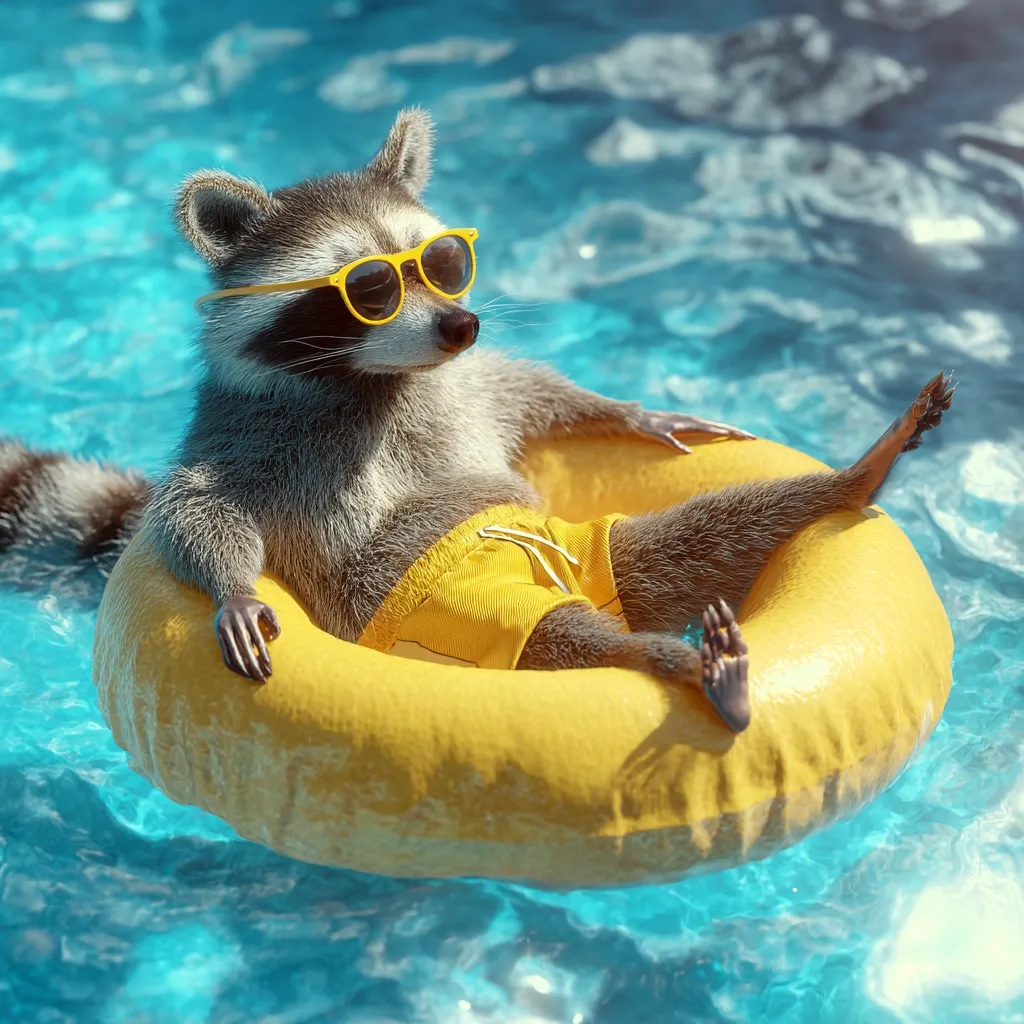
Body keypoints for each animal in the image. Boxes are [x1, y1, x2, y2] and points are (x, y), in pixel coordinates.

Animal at [0, 109, 954, 733]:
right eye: (369, 287)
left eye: (444, 263)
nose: (461, 325)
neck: (378, 379)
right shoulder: (248, 435)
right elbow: (199, 506)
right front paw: (234, 584)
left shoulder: (469, 384)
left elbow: (526, 393)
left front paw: (626, 408)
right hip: (466, 617)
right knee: (570, 643)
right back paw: (681, 661)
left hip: (596, 549)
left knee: (701, 534)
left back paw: (849, 479)